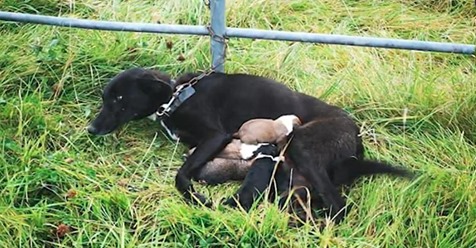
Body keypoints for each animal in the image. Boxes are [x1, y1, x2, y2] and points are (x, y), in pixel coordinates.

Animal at [86, 67, 412, 225]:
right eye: (105, 97)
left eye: (119, 99)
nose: (90, 129)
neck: (176, 96)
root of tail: (356, 140)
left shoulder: (215, 136)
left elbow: (180, 175)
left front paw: (197, 198)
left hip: (302, 146)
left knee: (338, 208)